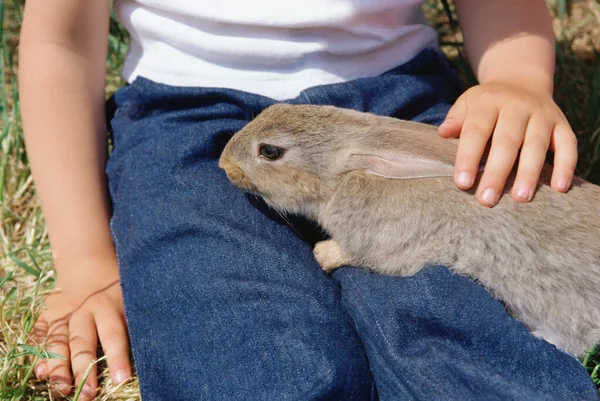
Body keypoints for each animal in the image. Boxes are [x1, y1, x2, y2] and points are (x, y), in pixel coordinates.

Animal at [218, 103, 600, 356]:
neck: (349, 175)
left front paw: (322, 254)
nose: (223, 164)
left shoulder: (387, 244)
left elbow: (357, 254)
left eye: (270, 151)